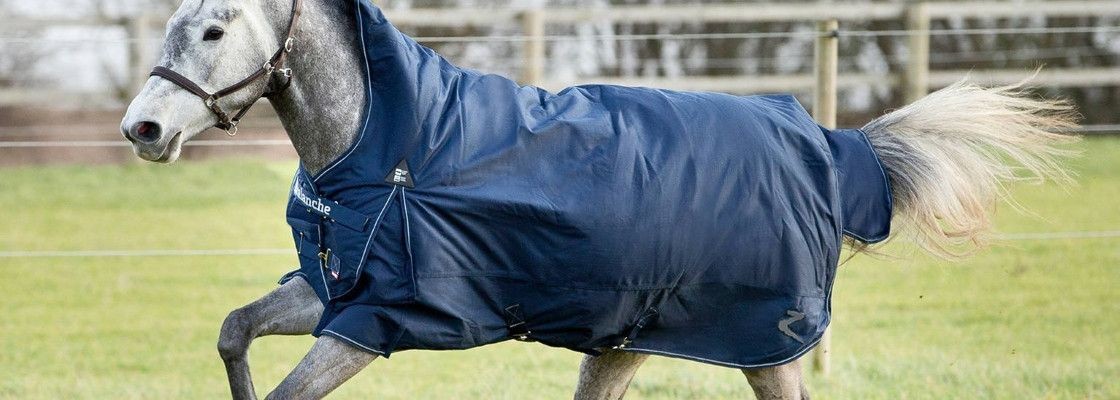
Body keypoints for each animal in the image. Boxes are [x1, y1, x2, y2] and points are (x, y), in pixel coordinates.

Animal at [119, 0, 1076, 398]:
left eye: (213, 30)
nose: (142, 129)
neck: (390, 149)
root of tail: (831, 148)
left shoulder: (369, 326)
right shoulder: (330, 295)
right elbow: (234, 332)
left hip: (766, 347)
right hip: (623, 346)